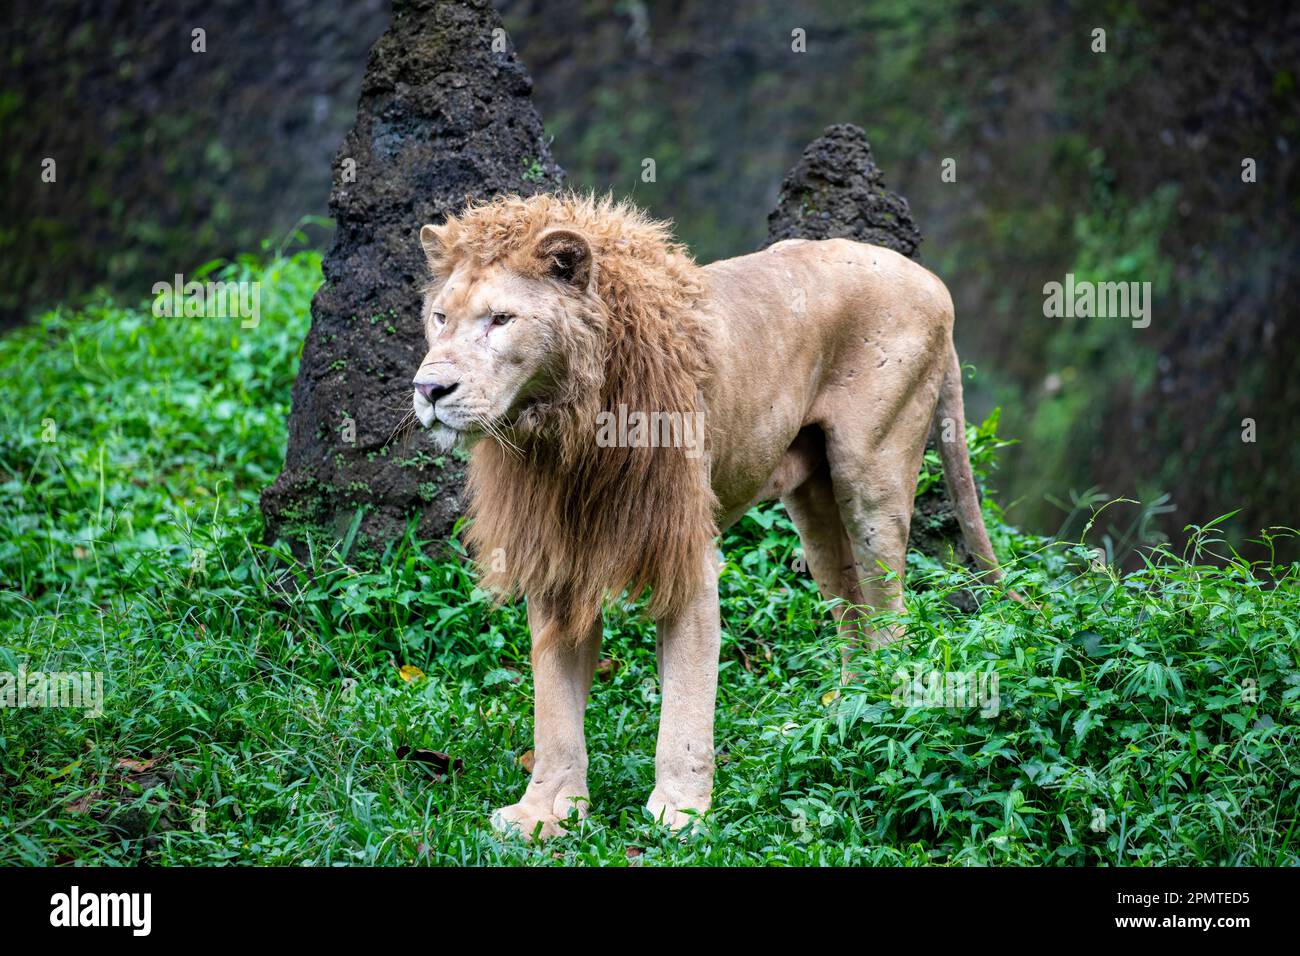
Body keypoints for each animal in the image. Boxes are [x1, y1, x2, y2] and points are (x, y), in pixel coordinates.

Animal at [411, 193, 1003, 838]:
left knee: (890, 610)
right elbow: (554, 704)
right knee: (850, 611)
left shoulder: (687, 553)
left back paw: (883, 716)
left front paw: (681, 812)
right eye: (440, 318)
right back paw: (843, 721)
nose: (429, 389)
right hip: (815, 503)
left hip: (873, 473)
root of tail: (930, 279)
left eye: (500, 319)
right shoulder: (556, 559)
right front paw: (545, 811)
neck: (564, 428)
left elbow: (688, 700)